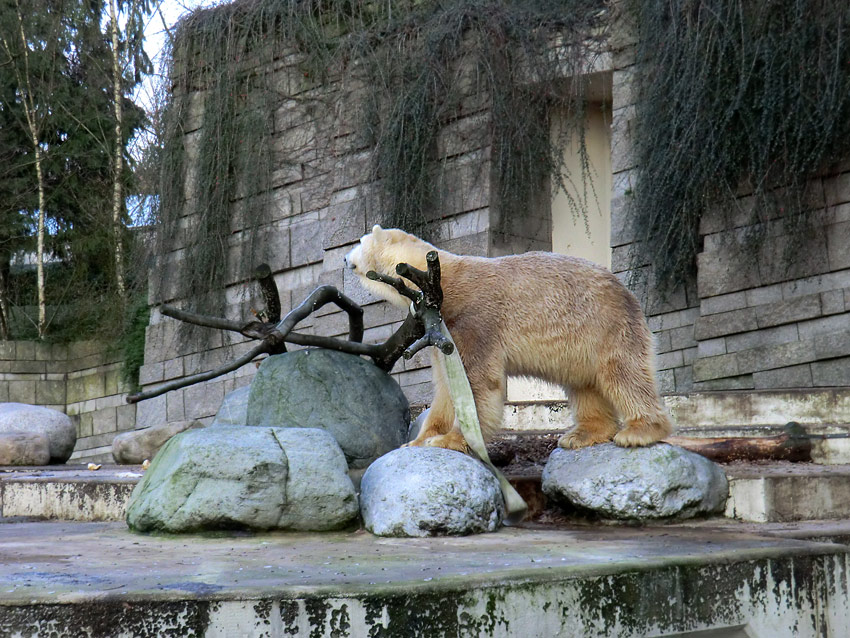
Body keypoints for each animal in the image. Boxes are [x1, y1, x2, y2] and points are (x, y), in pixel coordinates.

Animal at [342, 228, 668, 452]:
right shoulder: (439, 329)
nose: (344, 258)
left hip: (605, 324)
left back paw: (639, 431)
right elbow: (446, 386)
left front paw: (451, 440)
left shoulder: (473, 319)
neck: (443, 285)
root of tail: (626, 292)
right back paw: (581, 435)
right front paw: (419, 441)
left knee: (622, 373)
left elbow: (477, 382)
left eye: (360, 241)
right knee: (584, 384)